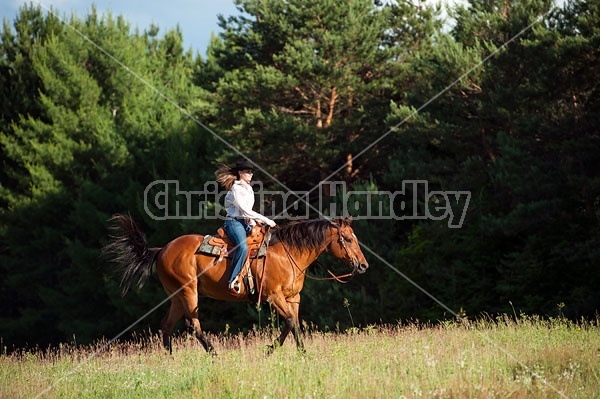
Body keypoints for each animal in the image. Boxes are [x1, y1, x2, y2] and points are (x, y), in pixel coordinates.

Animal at [103, 216, 368, 356]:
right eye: (347, 239)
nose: (363, 266)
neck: (287, 253)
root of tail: (161, 250)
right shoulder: (273, 296)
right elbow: (291, 323)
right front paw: (273, 350)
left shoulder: (293, 298)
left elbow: (295, 325)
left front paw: (298, 353)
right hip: (188, 292)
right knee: (192, 325)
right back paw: (214, 354)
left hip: (176, 296)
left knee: (166, 327)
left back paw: (172, 360)